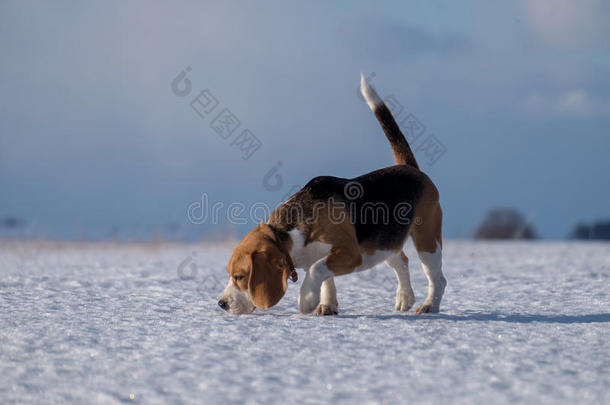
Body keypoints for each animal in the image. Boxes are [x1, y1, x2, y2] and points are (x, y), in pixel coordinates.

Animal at [216, 76, 444, 316]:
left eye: (240, 277)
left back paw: (430, 305)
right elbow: (326, 278)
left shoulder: (351, 254)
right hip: (384, 244)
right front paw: (327, 305)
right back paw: (405, 298)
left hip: (427, 242)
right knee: (402, 262)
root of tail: (409, 167)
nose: (221, 304)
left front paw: (307, 299)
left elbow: (317, 270)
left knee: (437, 278)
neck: (289, 231)